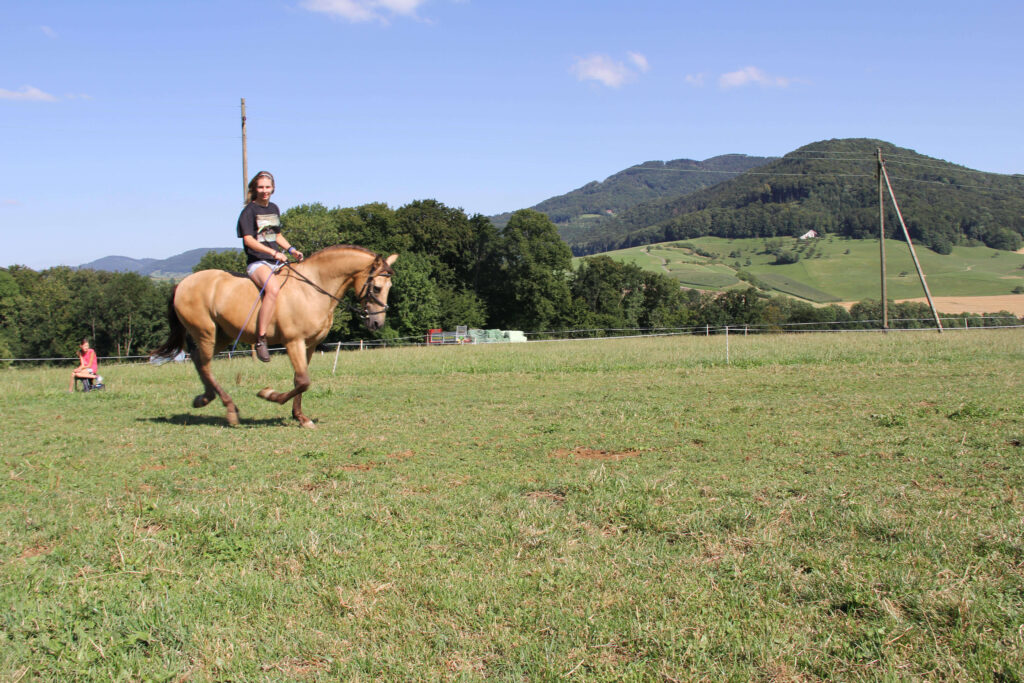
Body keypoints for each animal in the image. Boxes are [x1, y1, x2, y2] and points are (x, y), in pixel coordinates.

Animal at [151, 246, 398, 428]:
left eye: (389, 287)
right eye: (376, 288)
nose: (377, 323)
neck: (313, 289)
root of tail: (182, 283)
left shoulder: (308, 345)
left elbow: (300, 380)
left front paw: (300, 417)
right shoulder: (293, 341)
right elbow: (303, 381)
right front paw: (269, 394)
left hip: (222, 335)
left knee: (199, 360)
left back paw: (205, 399)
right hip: (206, 332)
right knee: (203, 362)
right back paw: (228, 409)